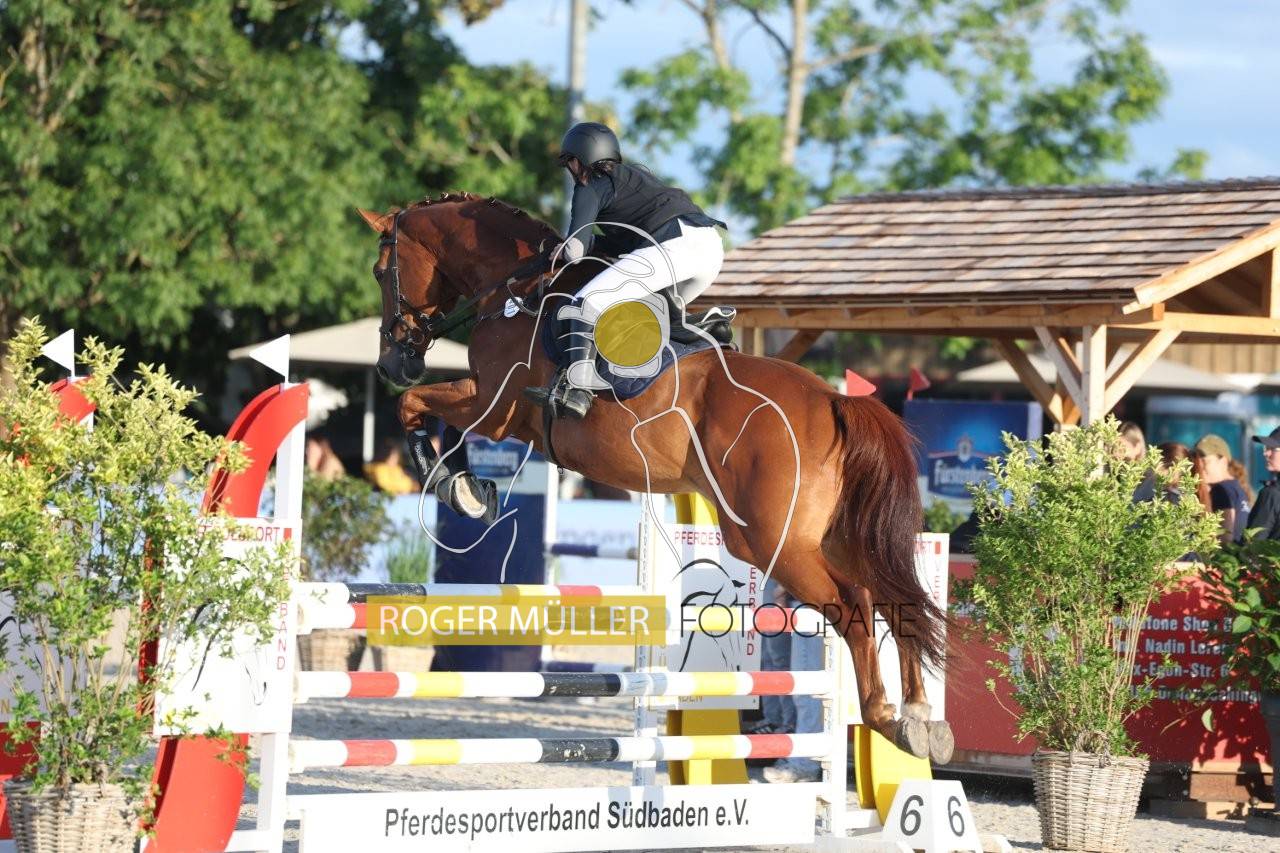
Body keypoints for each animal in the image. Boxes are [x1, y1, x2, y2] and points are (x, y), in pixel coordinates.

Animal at [357, 193, 953, 762]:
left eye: (381, 271)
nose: (392, 363)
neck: (514, 290)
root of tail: (833, 400)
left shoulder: (494, 407)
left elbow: (414, 407)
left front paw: (458, 488)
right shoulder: (492, 406)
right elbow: (424, 410)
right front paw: (467, 487)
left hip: (772, 542)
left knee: (855, 605)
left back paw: (885, 717)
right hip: (834, 537)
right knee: (895, 599)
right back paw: (921, 720)